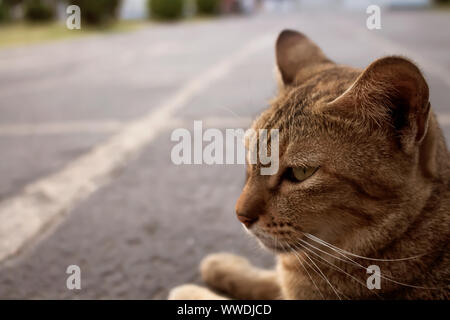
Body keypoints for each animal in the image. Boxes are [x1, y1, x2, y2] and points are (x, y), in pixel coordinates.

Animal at [169, 28, 450, 298]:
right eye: (251, 157)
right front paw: (224, 266)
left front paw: (190, 289)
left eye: (301, 172)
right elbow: (269, 279)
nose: (240, 216)